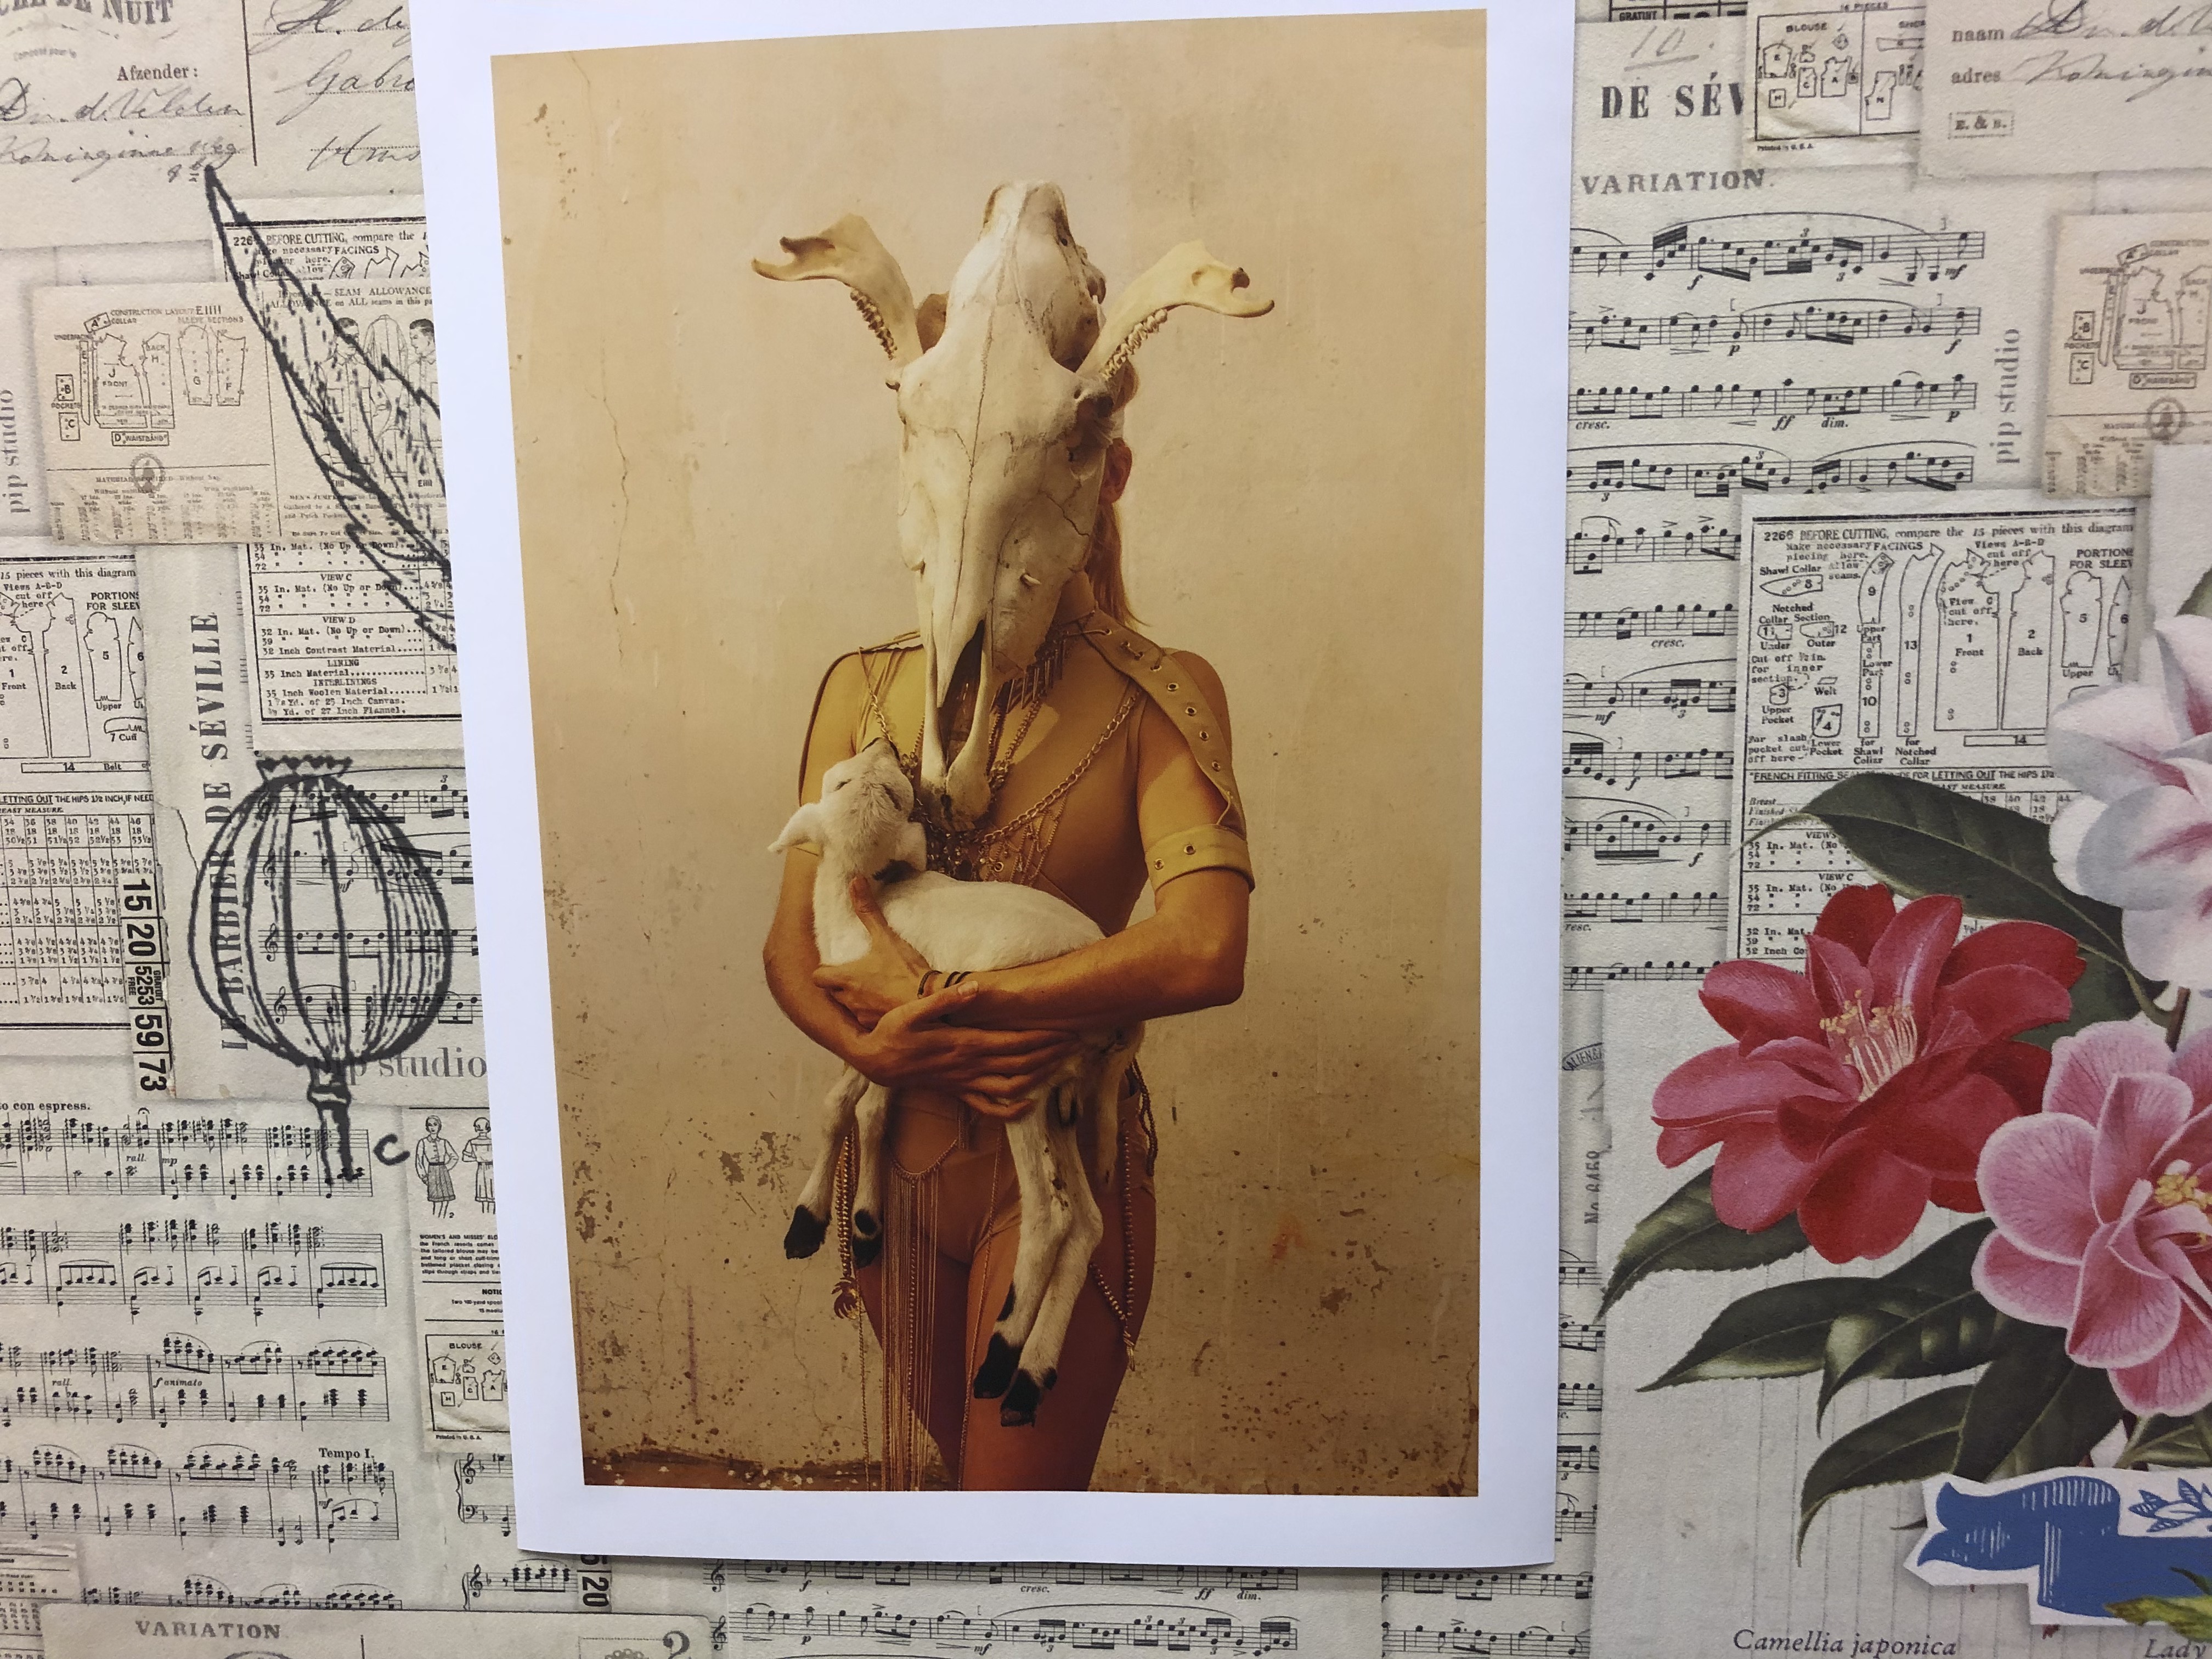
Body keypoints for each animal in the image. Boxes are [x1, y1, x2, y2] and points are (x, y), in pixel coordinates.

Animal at [769, 738, 1143, 1426]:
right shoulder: (892, 1042)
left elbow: (839, 1109)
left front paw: (811, 1221)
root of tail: (1125, 1020)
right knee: (1087, 1222)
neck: (863, 895)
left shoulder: (874, 1025)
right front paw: (864, 1224)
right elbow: (871, 1114)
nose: (881, 745)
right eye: (848, 783)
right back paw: (1030, 1377)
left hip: (1019, 1078)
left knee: (1049, 1216)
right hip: (1062, 1095)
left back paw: (1001, 1354)